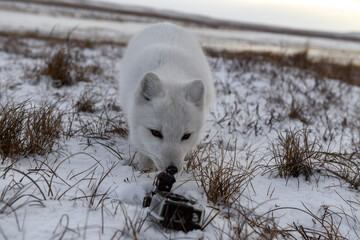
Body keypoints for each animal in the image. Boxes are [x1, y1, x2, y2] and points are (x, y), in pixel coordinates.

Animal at [119, 23, 215, 172]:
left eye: (186, 136)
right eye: (155, 132)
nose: (172, 169)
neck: (170, 75)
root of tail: (167, 23)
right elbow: (144, 151)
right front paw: (144, 170)